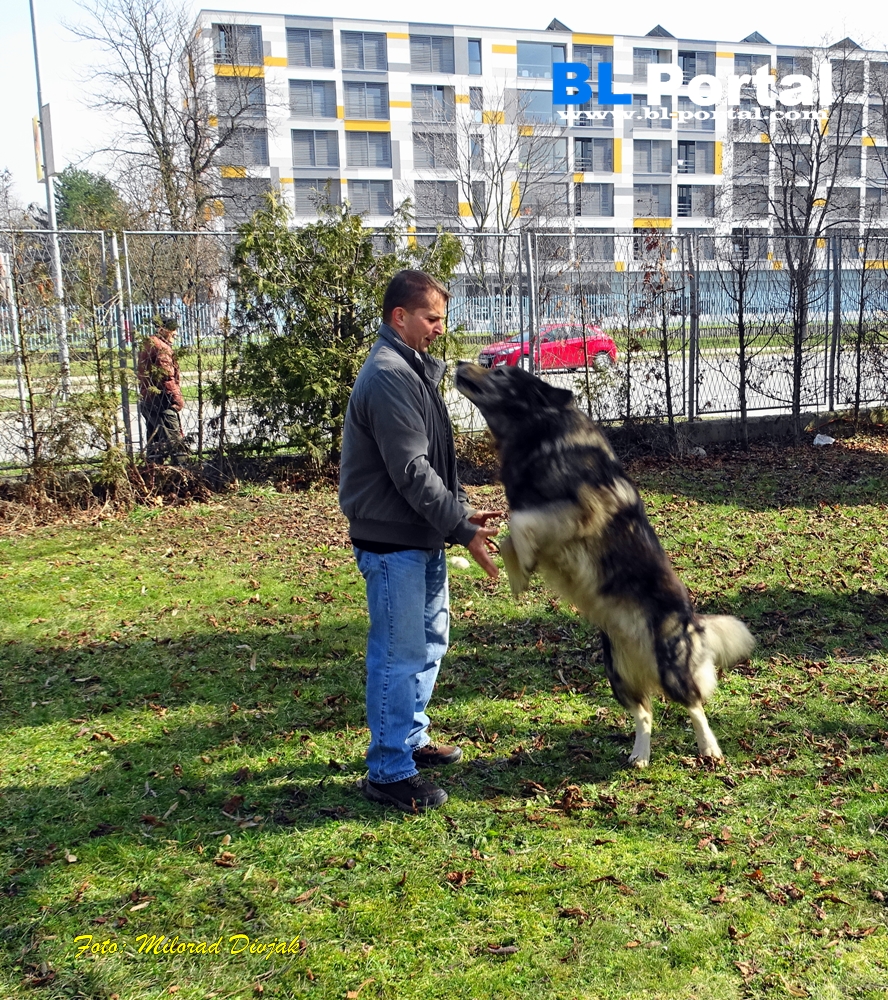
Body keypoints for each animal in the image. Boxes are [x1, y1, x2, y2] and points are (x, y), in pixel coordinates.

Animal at [454, 361, 755, 767]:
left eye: (499, 371)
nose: (458, 365)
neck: (540, 432)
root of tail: (693, 621)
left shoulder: (584, 508)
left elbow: (518, 524)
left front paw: (523, 562)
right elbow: (509, 536)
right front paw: (518, 573)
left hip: (671, 667)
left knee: (693, 704)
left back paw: (709, 748)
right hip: (617, 675)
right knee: (645, 714)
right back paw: (640, 754)